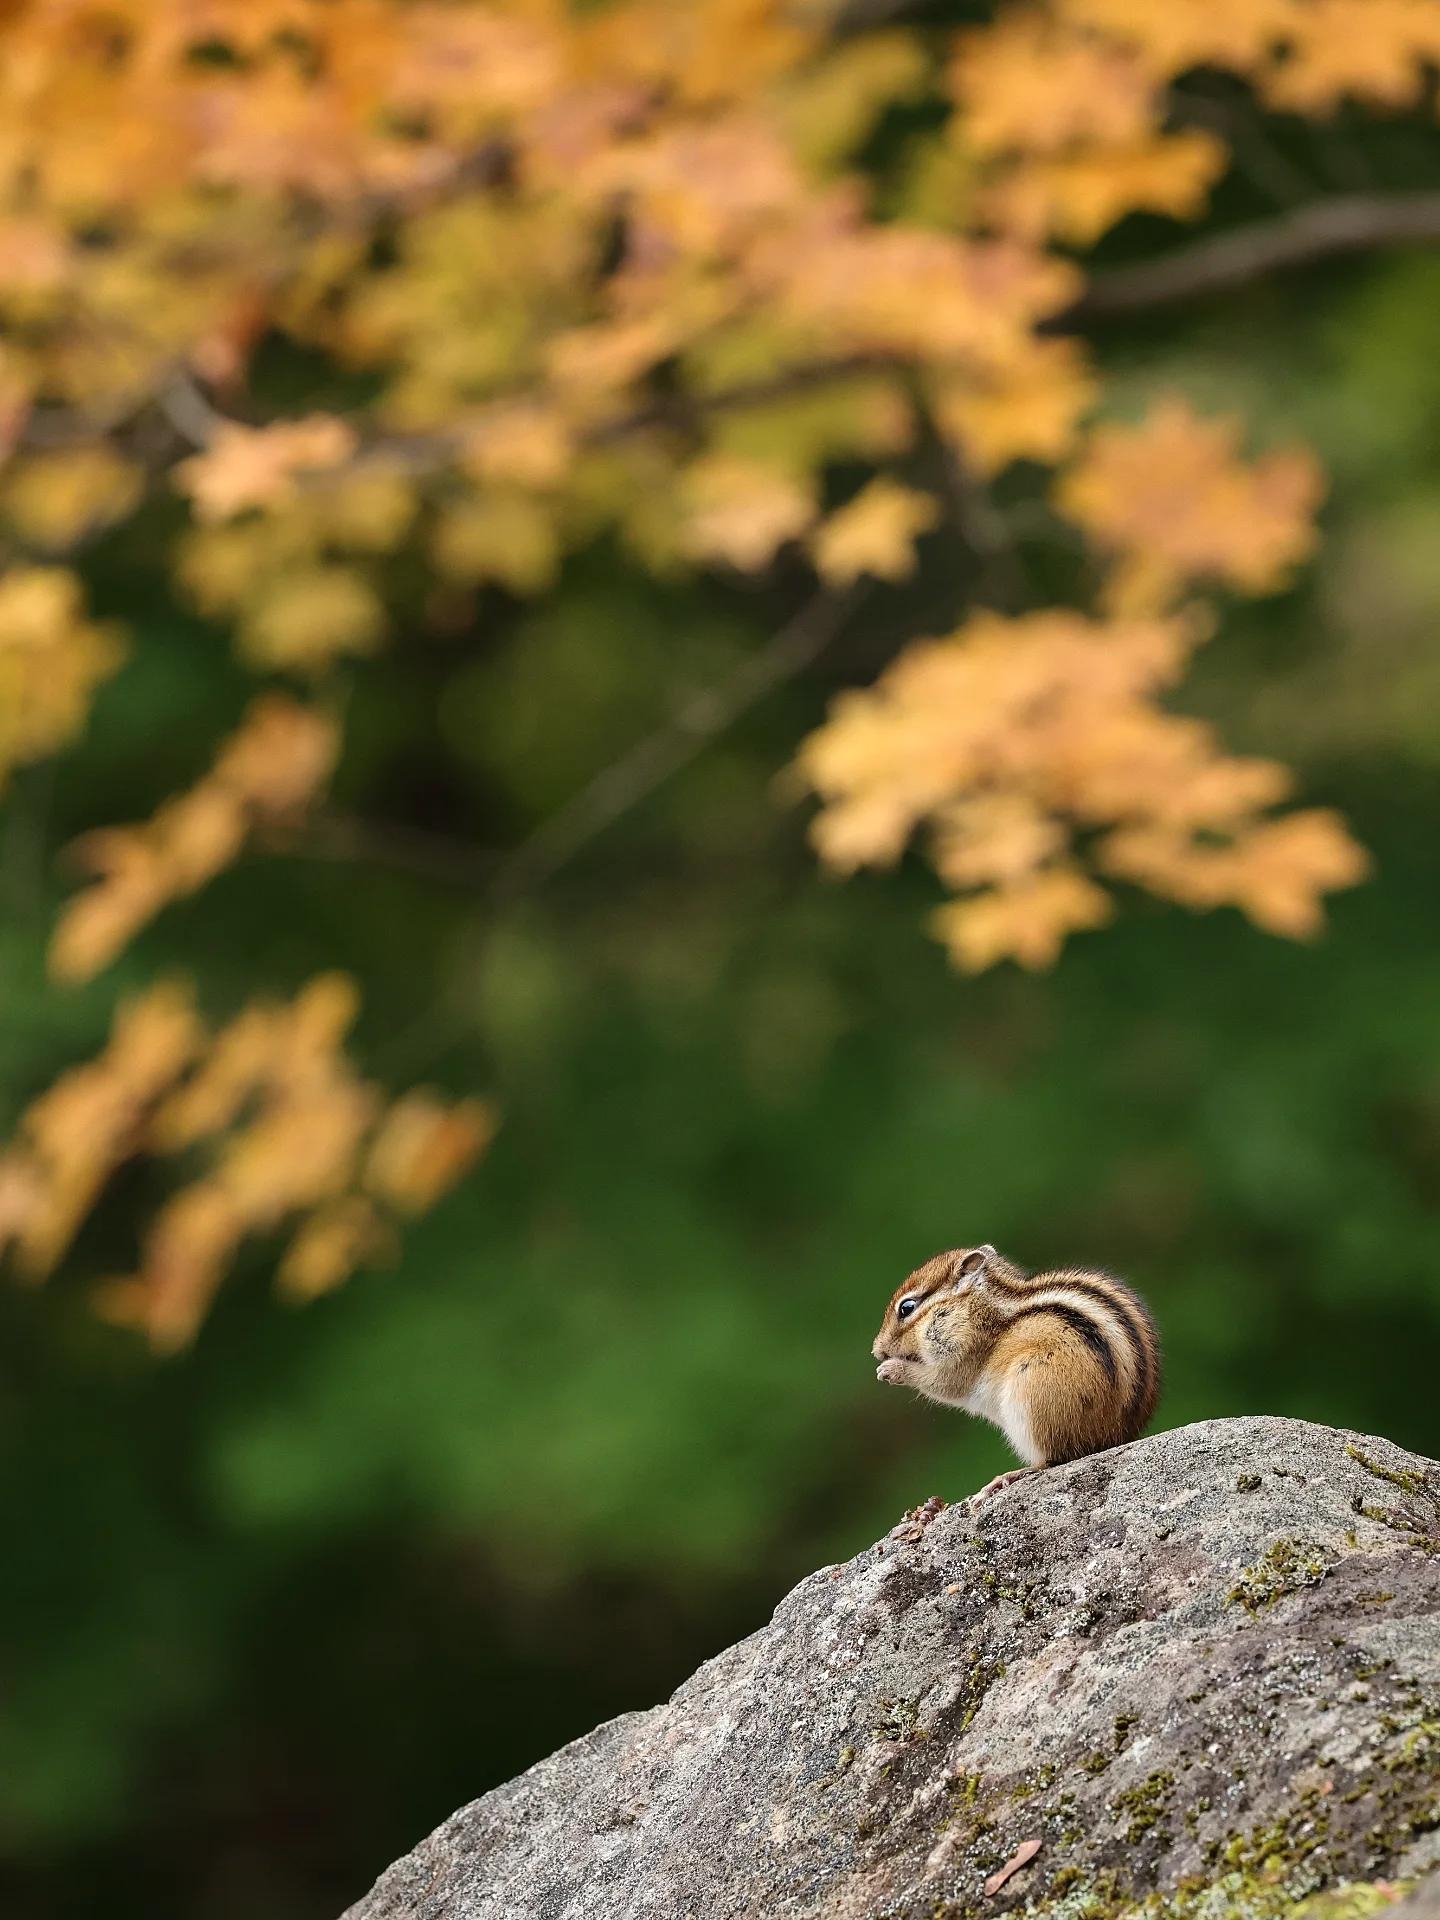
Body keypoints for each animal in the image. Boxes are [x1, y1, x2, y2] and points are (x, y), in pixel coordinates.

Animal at [872, 1243, 1160, 1513]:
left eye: (906, 1308)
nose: (876, 1350)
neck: (976, 1308)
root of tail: (1112, 1437)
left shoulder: (961, 1353)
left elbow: (943, 1383)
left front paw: (891, 1369)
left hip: (1034, 1397)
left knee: (1052, 1460)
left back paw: (1007, 1478)